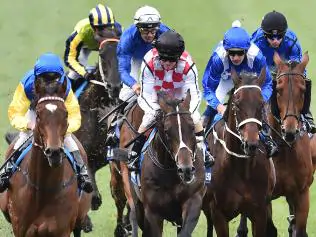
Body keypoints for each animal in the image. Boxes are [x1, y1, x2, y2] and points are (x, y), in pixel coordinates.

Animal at [237, 51, 314, 237]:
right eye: (278, 90)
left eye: (303, 90)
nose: (290, 131)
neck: (284, 148)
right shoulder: (263, 200)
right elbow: (269, 229)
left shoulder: (302, 194)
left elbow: (300, 229)